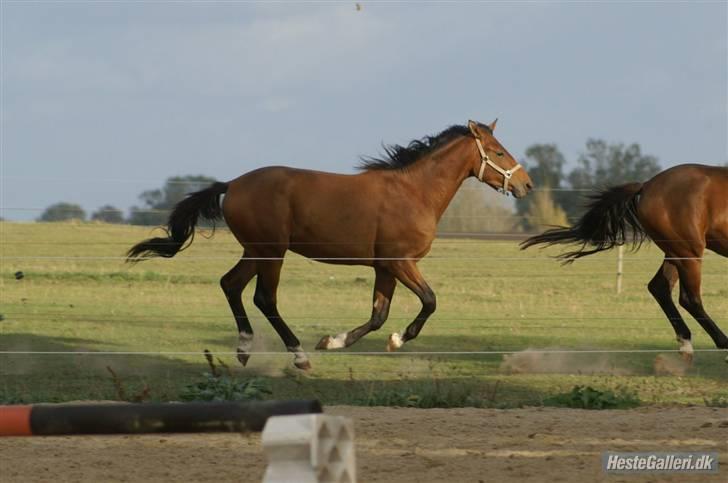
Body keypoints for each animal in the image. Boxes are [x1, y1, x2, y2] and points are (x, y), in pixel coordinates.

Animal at [126, 121, 536, 370]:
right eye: (498, 151)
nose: (526, 185)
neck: (413, 192)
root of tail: (233, 184)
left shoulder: (384, 267)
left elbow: (378, 315)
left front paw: (333, 341)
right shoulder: (400, 261)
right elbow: (430, 301)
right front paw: (397, 340)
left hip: (256, 251)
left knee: (231, 285)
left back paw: (245, 350)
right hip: (272, 252)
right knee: (264, 298)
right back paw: (299, 356)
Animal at [524, 164, 728, 362]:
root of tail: (646, 186)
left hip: (675, 253)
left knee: (660, 288)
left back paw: (686, 345)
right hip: (688, 252)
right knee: (689, 299)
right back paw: (722, 345)